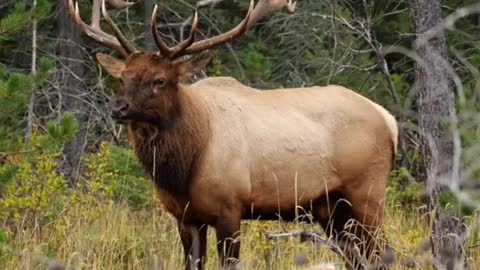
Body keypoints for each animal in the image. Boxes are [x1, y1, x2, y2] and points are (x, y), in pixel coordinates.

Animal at [67, 0, 398, 268]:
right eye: (123, 77)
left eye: (160, 80)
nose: (118, 107)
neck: (185, 164)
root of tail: (389, 119)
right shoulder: (185, 218)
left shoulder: (230, 209)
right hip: (331, 208)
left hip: (368, 193)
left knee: (381, 253)